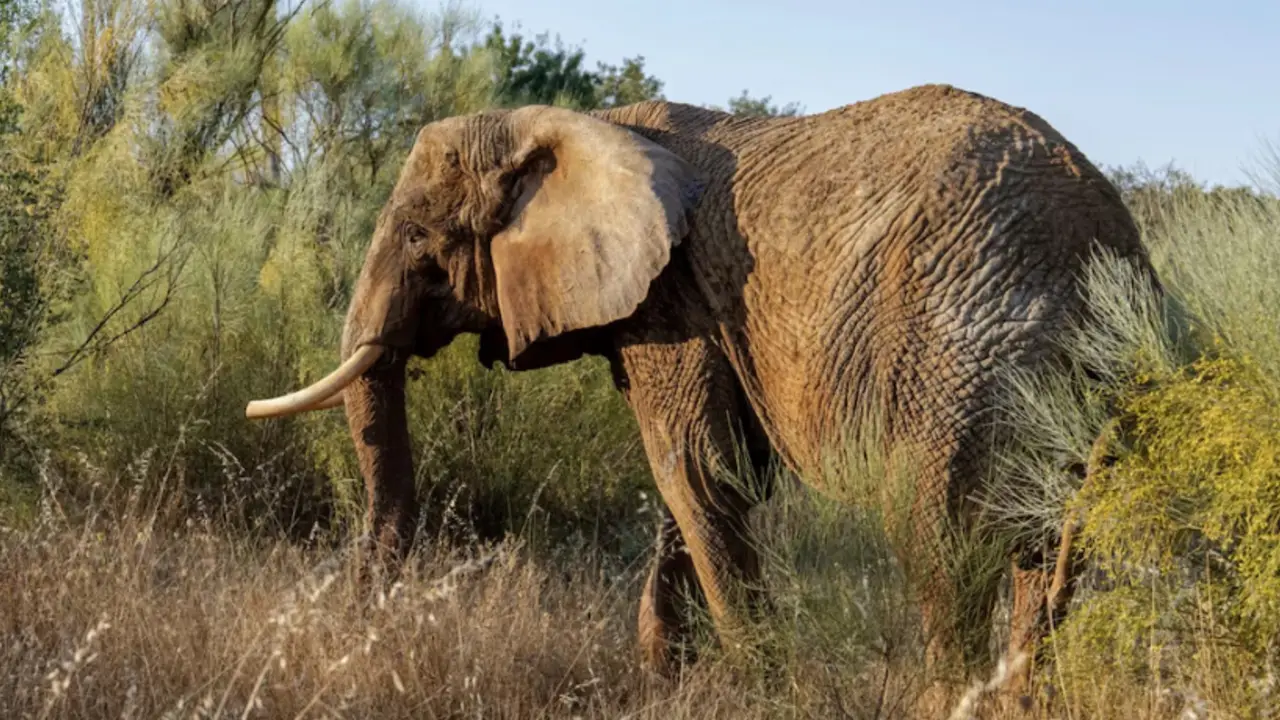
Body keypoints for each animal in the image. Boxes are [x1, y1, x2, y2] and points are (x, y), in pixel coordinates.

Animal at [245, 83, 1154, 696]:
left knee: (937, 536)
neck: (584, 123)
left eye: (418, 238)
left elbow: (695, 470)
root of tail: (1101, 242)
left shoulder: (674, 302)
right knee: (1041, 546)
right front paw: (664, 677)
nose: (359, 624)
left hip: (958, 357)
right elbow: (702, 478)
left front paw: (760, 688)